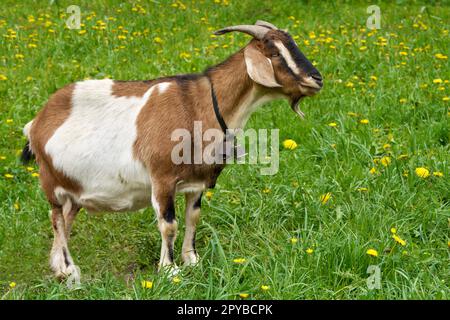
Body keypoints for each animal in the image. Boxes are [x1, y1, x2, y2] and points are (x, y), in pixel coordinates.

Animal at [22, 20, 324, 282]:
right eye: (274, 52)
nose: (316, 79)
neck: (201, 106)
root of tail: (35, 122)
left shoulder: (197, 181)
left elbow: (193, 217)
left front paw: (192, 260)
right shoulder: (162, 178)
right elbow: (169, 224)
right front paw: (169, 271)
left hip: (74, 186)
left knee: (65, 218)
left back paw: (58, 266)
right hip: (50, 182)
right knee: (56, 219)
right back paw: (70, 272)